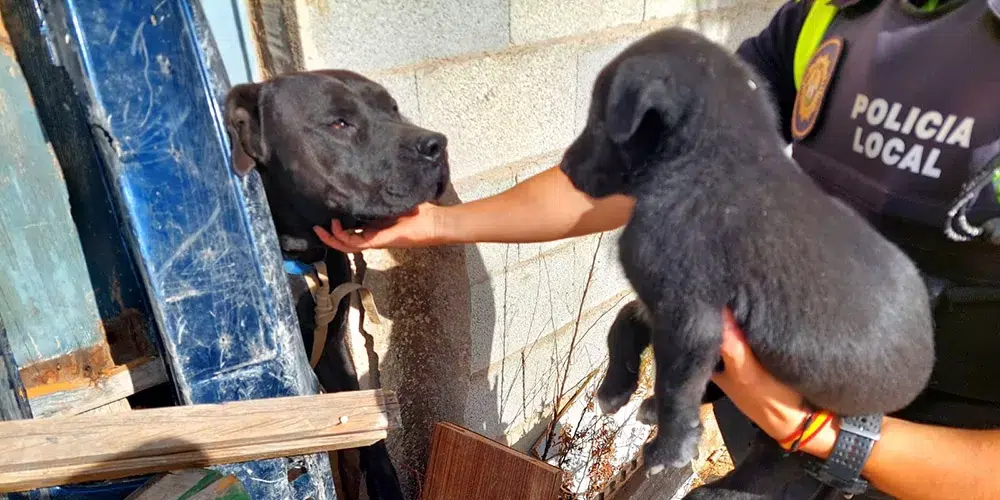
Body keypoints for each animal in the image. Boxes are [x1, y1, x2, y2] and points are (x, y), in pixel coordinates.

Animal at [227, 69, 450, 500]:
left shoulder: (333, 346)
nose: (437, 144)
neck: (304, 255)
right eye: (338, 123)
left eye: (392, 107)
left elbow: (368, 429)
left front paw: (384, 483)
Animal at [560, 27, 932, 496]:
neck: (716, 154)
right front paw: (617, 387)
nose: (564, 168)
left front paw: (669, 449)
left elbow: (676, 383)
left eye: (597, 120)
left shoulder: (687, 314)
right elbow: (624, 320)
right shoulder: (660, 300)